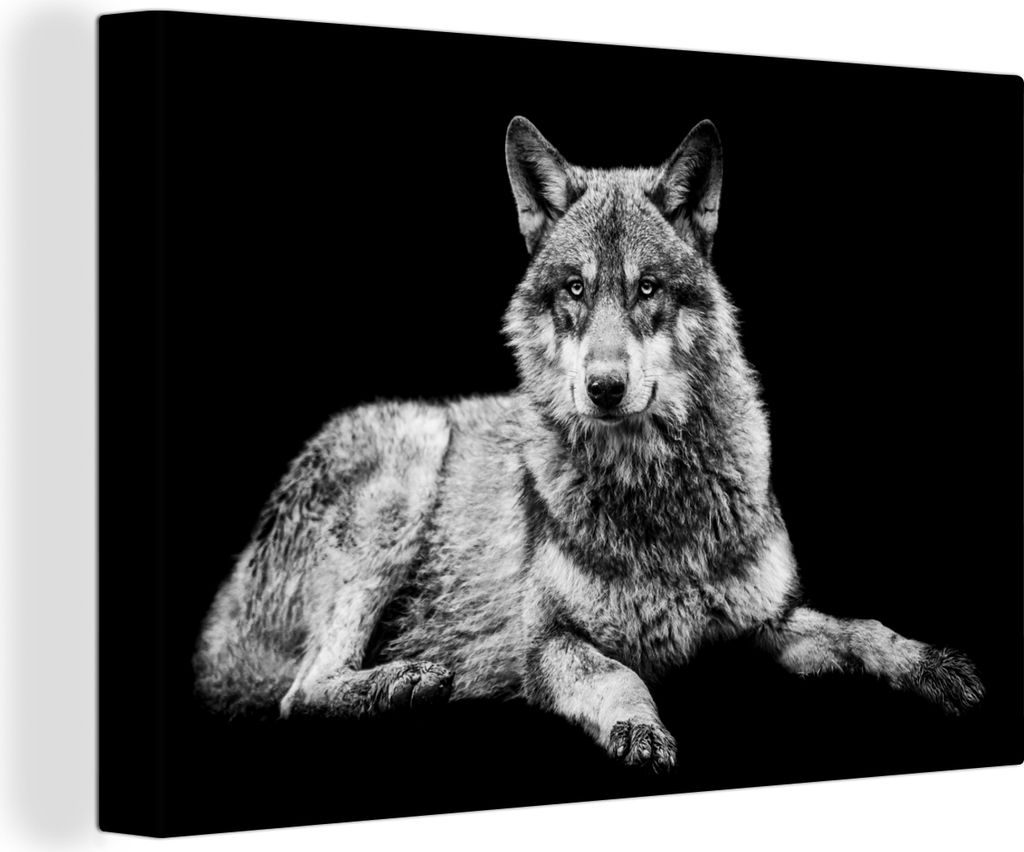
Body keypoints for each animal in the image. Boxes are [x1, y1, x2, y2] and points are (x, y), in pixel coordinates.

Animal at [195, 117, 984, 771]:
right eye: (575, 289)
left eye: (647, 289)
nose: (604, 387)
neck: (655, 493)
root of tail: (224, 610)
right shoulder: (546, 643)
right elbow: (618, 674)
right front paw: (641, 730)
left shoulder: (768, 622)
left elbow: (864, 628)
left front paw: (933, 665)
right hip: (409, 462)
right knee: (299, 693)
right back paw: (405, 682)